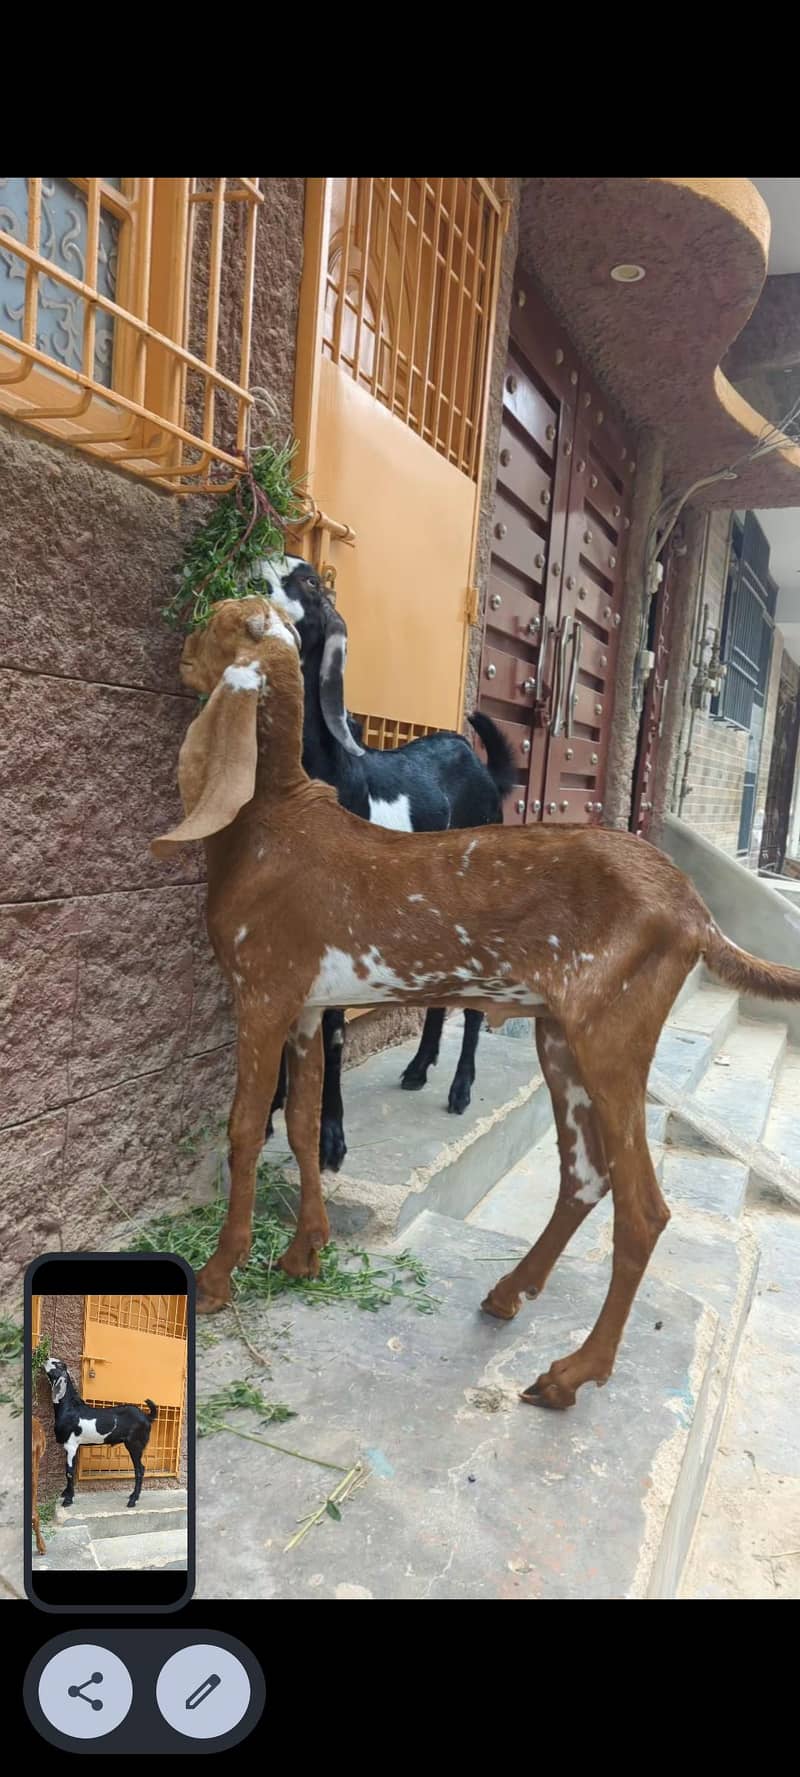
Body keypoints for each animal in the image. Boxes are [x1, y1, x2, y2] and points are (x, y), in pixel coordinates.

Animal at [43, 1357, 157, 1508]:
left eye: (58, 1364)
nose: (45, 1358)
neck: (70, 1408)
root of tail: (146, 1417)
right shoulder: (72, 1446)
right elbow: (69, 1469)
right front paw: (66, 1493)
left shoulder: (71, 1444)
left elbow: (69, 1472)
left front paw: (68, 1500)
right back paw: (133, 1496)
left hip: (135, 1444)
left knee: (140, 1470)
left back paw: (133, 1500)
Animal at [257, 556, 515, 1169]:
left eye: (310, 582)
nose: (267, 560)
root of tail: (479, 764)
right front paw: (272, 1111)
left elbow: (332, 1033)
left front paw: (330, 1138)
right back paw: (420, 1067)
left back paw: (461, 1088)